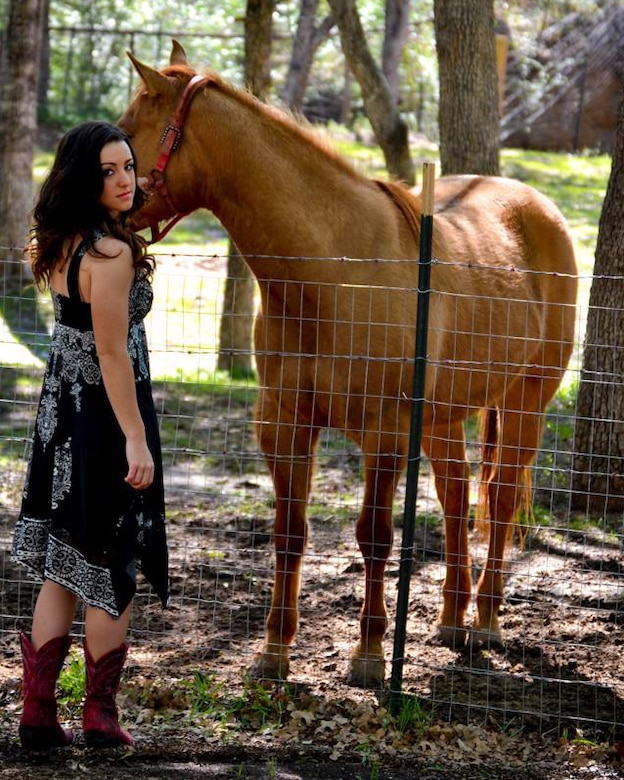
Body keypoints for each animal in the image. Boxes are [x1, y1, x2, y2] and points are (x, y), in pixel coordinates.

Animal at [119, 42, 576, 688]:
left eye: (128, 134)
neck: (332, 272)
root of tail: (538, 209)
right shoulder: (285, 426)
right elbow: (290, 534)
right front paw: (273, 652)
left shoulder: (383, 435)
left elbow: (375, 538)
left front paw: (369, 655)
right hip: (442, 418)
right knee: (458, 498)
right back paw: (452, 620)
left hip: (525, 403)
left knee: (502, 495)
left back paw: (486, 621)